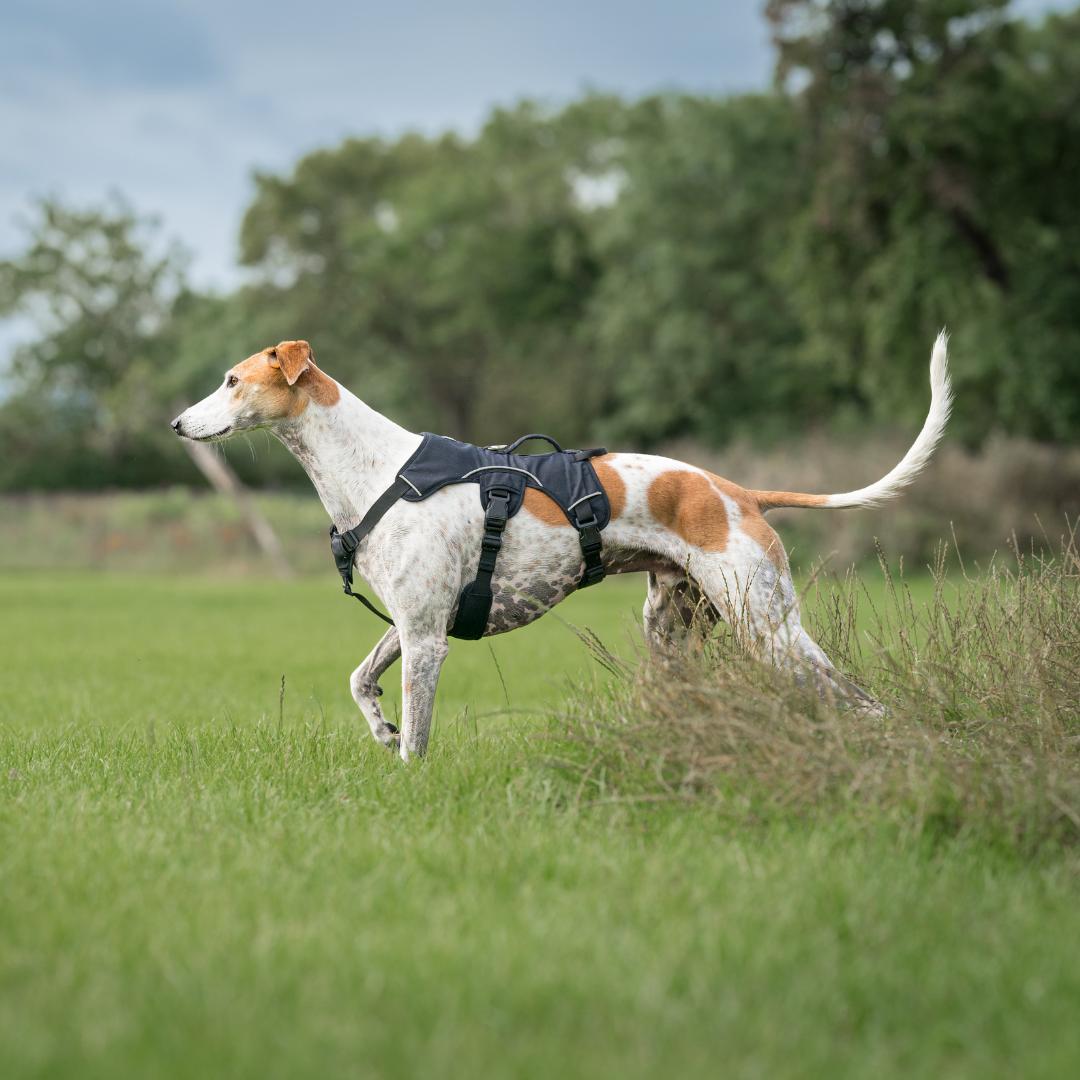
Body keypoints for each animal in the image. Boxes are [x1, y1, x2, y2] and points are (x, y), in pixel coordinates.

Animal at [172, 330, 950, 760]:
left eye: (233, 380)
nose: (177, 423)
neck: (379, 470)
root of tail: (740, 492)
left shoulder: (426, 638)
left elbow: (419, 742)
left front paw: (405, 760)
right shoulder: (410, 620)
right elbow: (361, 682)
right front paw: (383, 730)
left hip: (771, 629)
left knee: (864, 704)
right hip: (673, 633)